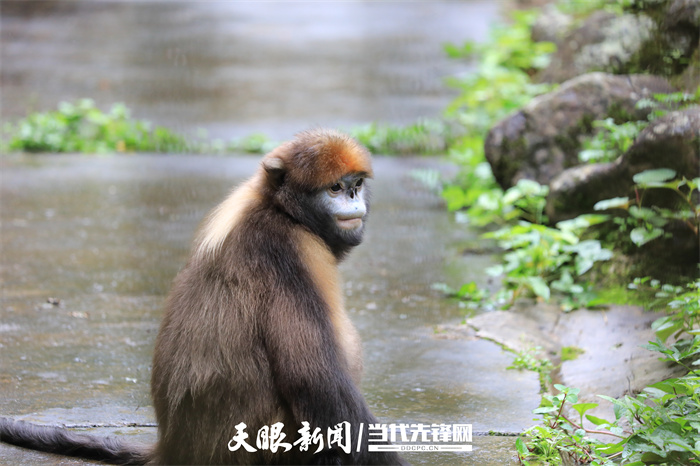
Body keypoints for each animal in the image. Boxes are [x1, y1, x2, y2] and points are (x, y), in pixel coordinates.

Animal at [0, 128, 404, 466]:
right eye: (335, 188)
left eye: (355, 184)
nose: (352, 197)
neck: (277, 208)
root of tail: (172, 448)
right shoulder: (288, 251)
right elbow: (315, 381)